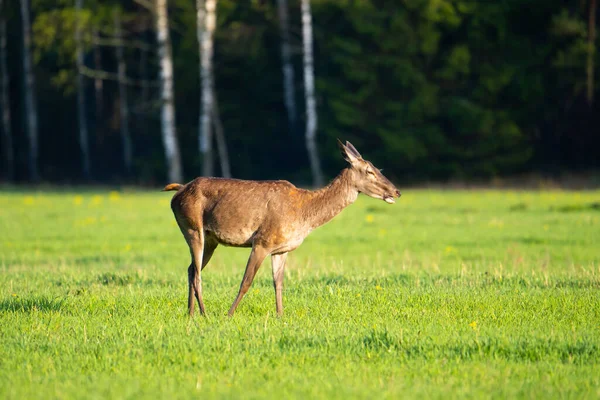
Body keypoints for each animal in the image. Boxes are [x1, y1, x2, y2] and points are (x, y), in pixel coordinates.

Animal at [162, 139, 400, 318]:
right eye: (369, 171)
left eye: (378, 168)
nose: (396, 191)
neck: (304, 215)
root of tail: (178, 191)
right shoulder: (262, 241)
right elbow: (246, 282)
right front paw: (229, 315)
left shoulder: (281, 248)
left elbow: (278, 283)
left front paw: (280, 315)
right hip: (192, 228)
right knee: (197, 274)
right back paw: (204, 313)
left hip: (211, 239)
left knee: (191, 269)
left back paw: (191, 313)